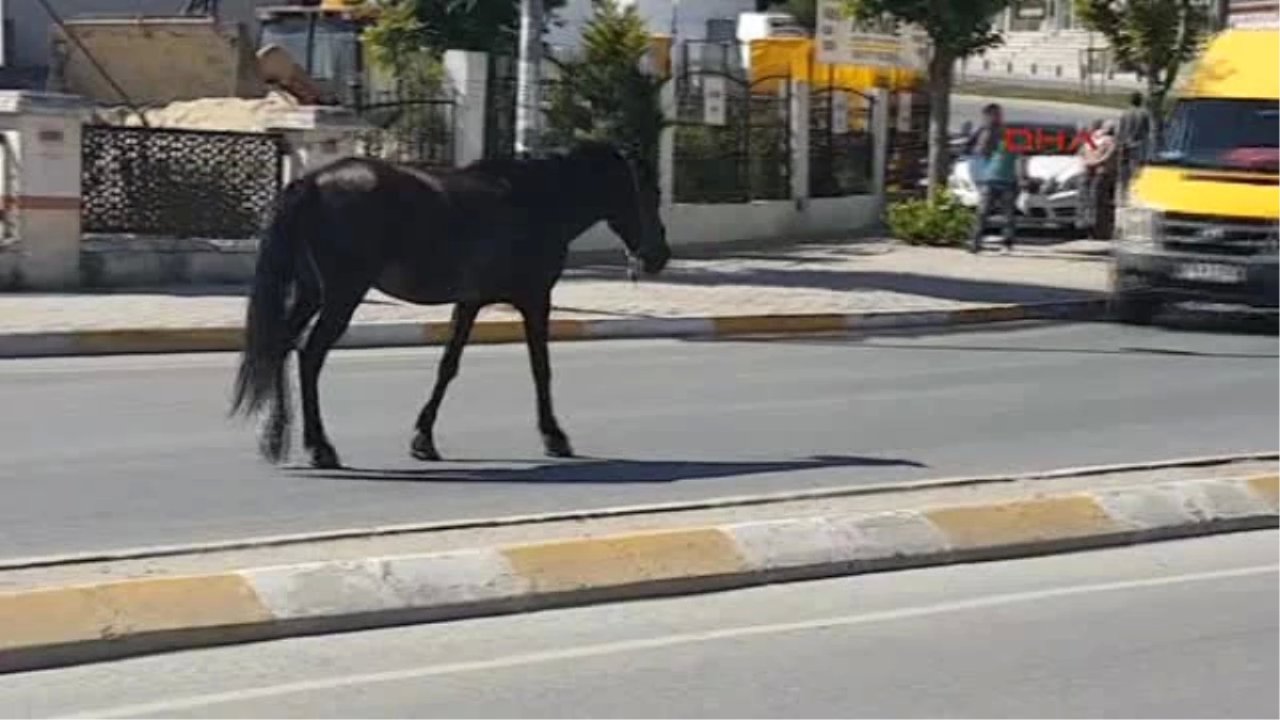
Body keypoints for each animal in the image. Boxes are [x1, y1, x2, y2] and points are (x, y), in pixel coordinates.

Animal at [232, 140, 670, 468]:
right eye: (650, 193)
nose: (658, 257)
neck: (537, 200)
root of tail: (311, 183)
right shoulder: (535, 299)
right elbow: (540, 368)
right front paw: (555, 436)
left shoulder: (470, 302)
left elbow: (448, 366)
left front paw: (423, 439)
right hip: (341, 295)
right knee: (310, 356)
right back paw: (320, 447)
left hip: (311, 293)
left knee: (280, 346)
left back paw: (275, 438)